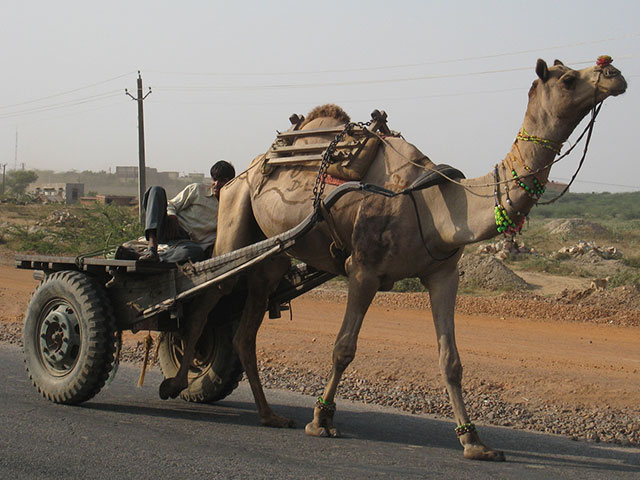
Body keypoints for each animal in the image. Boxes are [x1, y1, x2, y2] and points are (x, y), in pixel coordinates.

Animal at [159, 57, 624, 462]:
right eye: (568, 79)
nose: (614, 73)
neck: (435, 203)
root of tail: (252, 164)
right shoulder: (363, 269)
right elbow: (343, 348)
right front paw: (321, 420)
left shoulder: (442, 274)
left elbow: (451, 360)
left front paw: (474, 442)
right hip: (236, 210)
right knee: (208, 292)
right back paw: (176, 381)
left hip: (273, 253)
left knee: (245, 328)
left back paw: (269, 415)